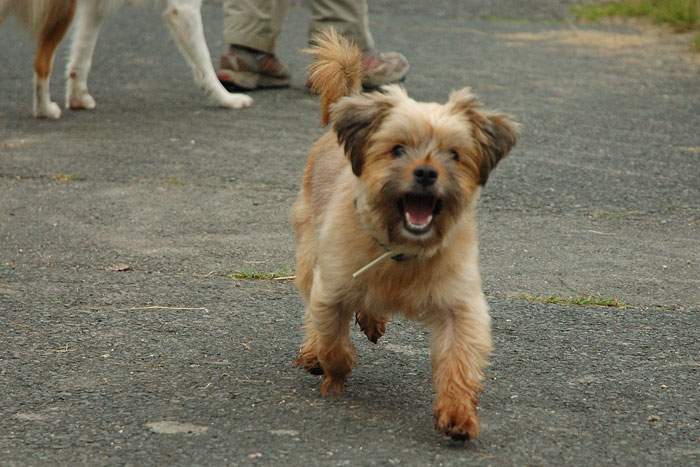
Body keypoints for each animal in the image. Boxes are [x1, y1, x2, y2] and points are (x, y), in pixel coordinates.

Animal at [0, 0, 252, 119]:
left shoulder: (95, 7)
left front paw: (78, 99)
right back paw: (44, 110)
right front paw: (227, 99)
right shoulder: (182, 8)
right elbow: (205, 66)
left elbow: (81, 57)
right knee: (41, 64)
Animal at [290, 30, 516, 442]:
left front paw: (458, 414)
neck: (402, 249)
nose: (426, 172)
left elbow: (459, 359)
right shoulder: (332, 288)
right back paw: (315, 353)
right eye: (397, 149)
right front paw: (333, 376)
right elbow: (332, 340)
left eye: (454, 154)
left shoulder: (461, 306)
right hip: (309, 252)